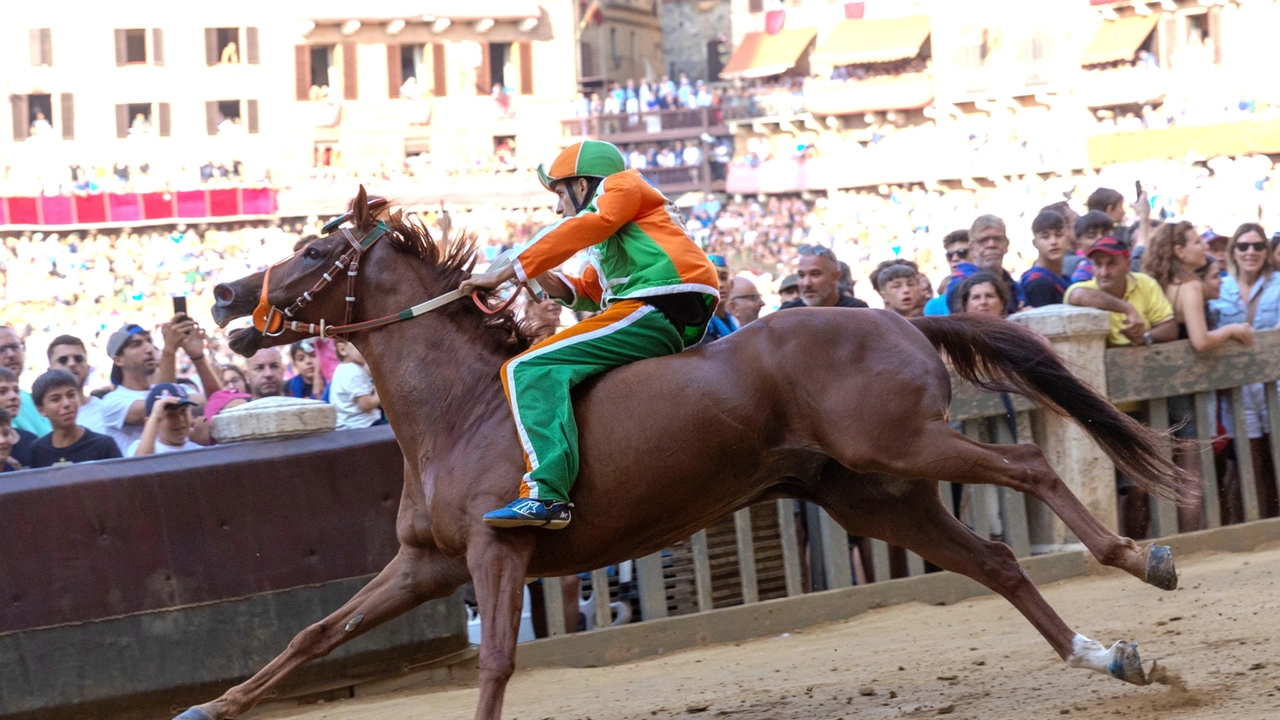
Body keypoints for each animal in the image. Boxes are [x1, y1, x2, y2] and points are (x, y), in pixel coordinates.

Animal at [180, 190, 1187, 717]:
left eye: (314, 249)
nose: (225, 296)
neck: (460, 407)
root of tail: (901, 319)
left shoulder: (498, 549)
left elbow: (496, 661)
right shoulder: (427, 563)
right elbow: (314, 633)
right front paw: (209, 706)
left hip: (901, 444)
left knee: (1030, 471)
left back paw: (1141, 557)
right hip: (872, 493)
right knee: (996, 560)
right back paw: (1108, 657)